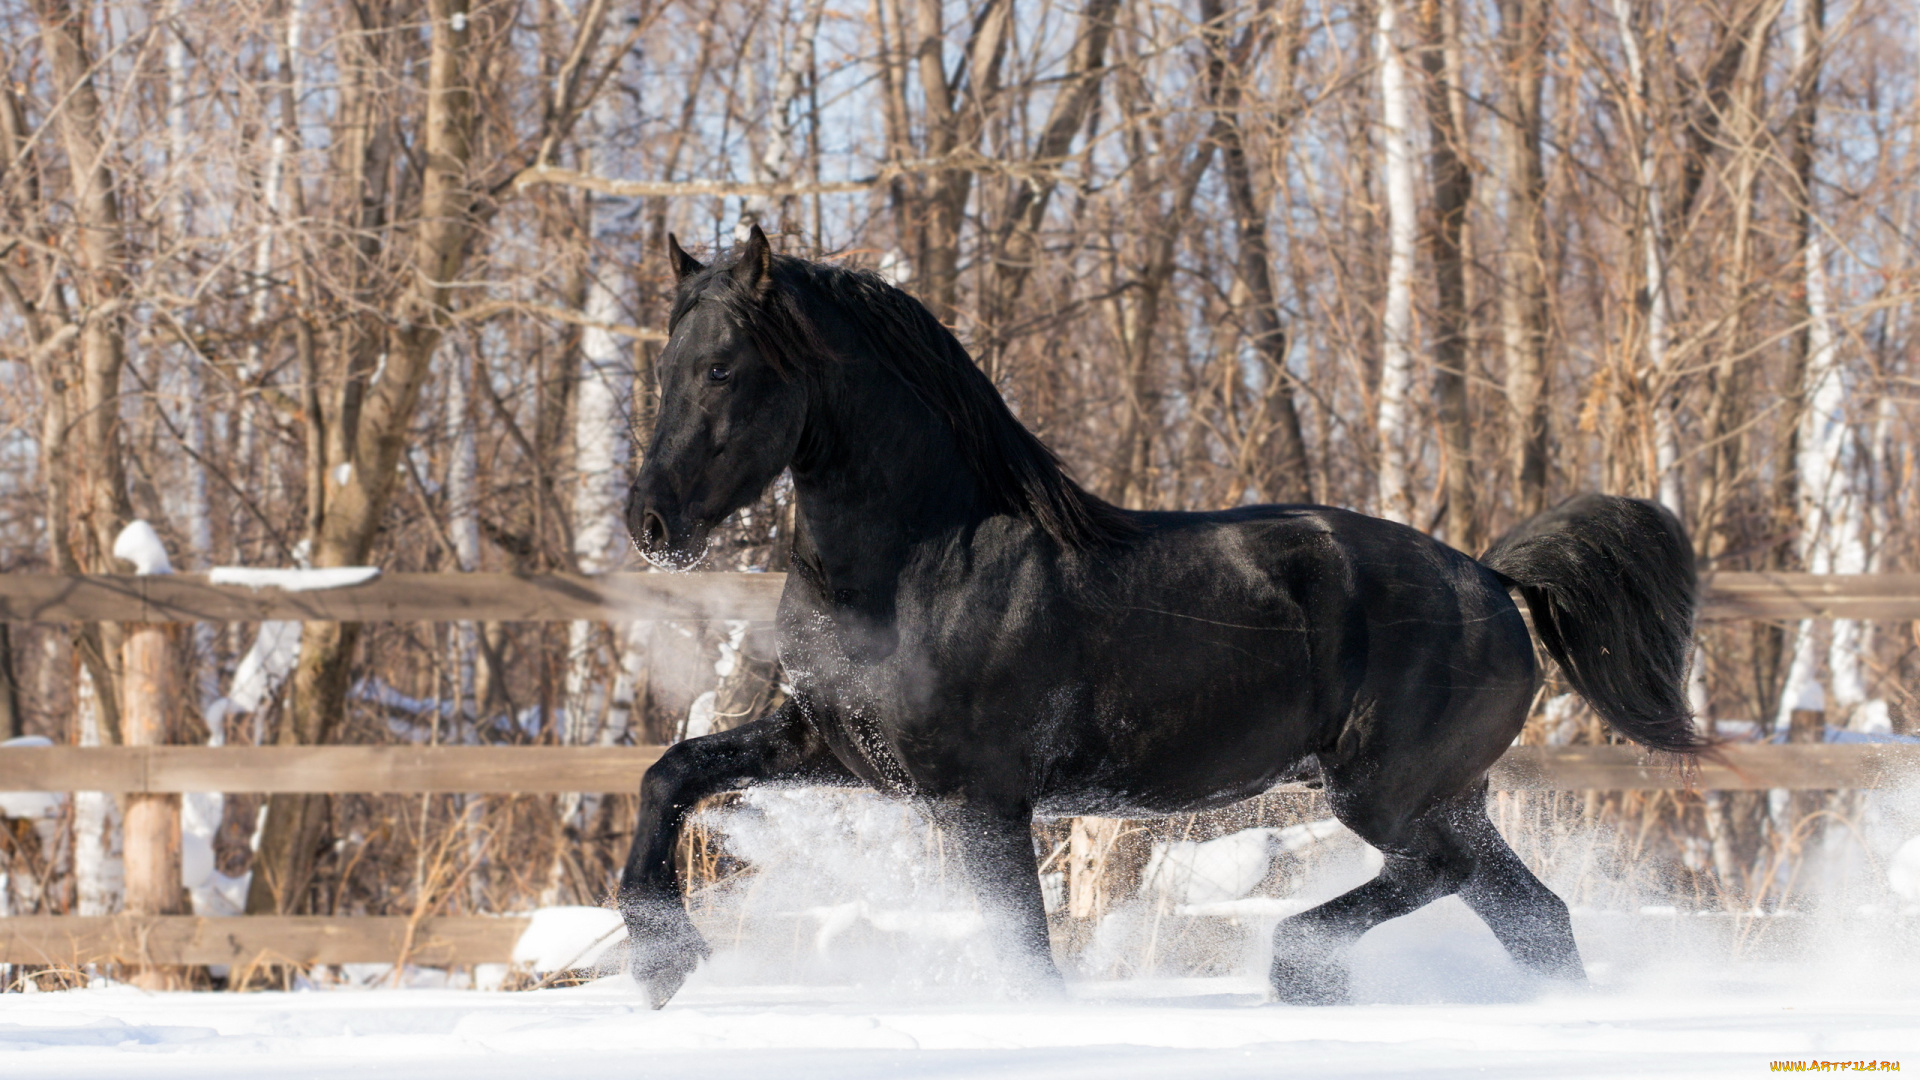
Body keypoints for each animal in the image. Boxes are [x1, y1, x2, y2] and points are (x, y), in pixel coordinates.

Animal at [610, 222, 1697, 1006]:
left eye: (722, 369)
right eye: (665, 370)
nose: (649, 521)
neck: (919, 563)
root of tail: (1491, 577)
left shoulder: (981, 799)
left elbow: (1026, 953)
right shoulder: (835, 748)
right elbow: (672, 773)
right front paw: (661, 960)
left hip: (1387, 792)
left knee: (1438, 873)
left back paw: (1299, 968)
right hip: (1447, 794)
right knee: (1535, 917)